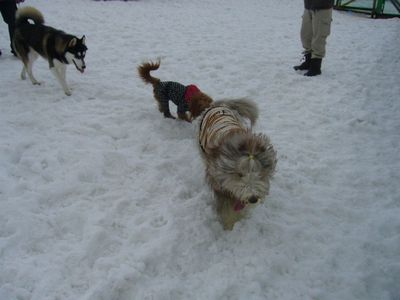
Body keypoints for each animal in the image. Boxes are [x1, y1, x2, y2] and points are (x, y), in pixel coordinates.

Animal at [198, 98, 276, 230]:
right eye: (239, 174)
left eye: (259, 173)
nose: (253, 199)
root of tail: (218, 104)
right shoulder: (219, 186)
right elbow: (226, 210)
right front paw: (229, 226)